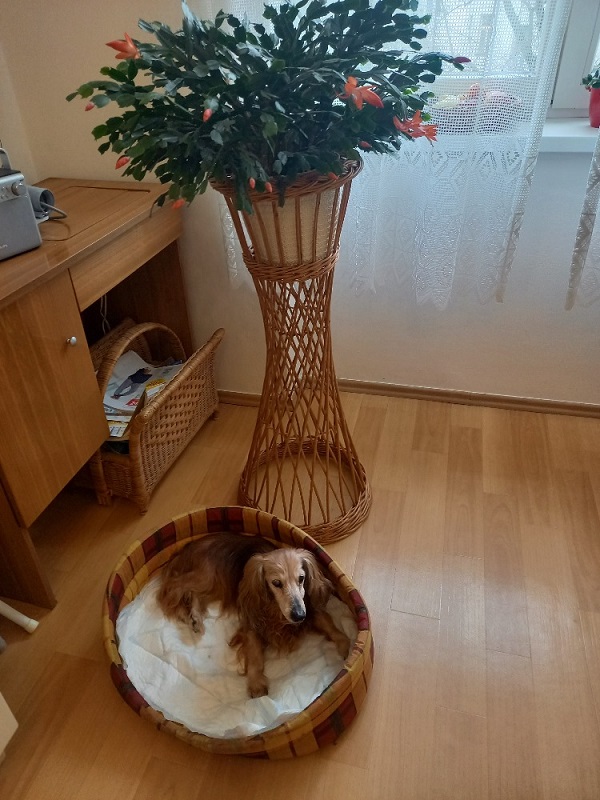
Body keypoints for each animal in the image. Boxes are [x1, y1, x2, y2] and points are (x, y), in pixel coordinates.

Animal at [157, 532, 351, 697]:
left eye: (301, 578)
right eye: (276, 583)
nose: (298, 616)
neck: (276, 609)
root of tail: (190, 545)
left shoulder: (309, 608)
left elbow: (329, 625)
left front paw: (345, 646)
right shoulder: (252, 625)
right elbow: (255, 656)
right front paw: (256, 683)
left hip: (215, 584)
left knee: (192, 593)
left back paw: (195, 618)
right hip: (206, 576)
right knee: (173, 586)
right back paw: (182, 613)